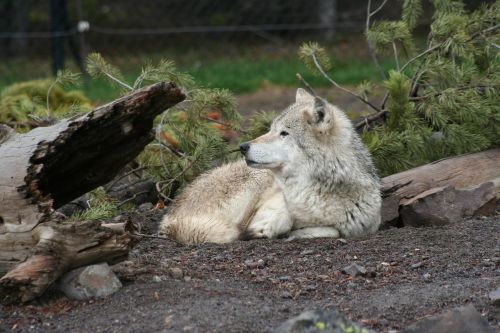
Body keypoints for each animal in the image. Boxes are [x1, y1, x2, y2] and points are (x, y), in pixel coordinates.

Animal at [160, 88, 382, 244]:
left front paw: (296, 232)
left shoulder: (365, 225)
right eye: (270, 129)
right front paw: (272, 227)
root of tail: (168, 218)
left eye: (284, 133)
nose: (243, 147)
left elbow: (333, 230)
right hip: (254, 183)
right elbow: (282, 214)